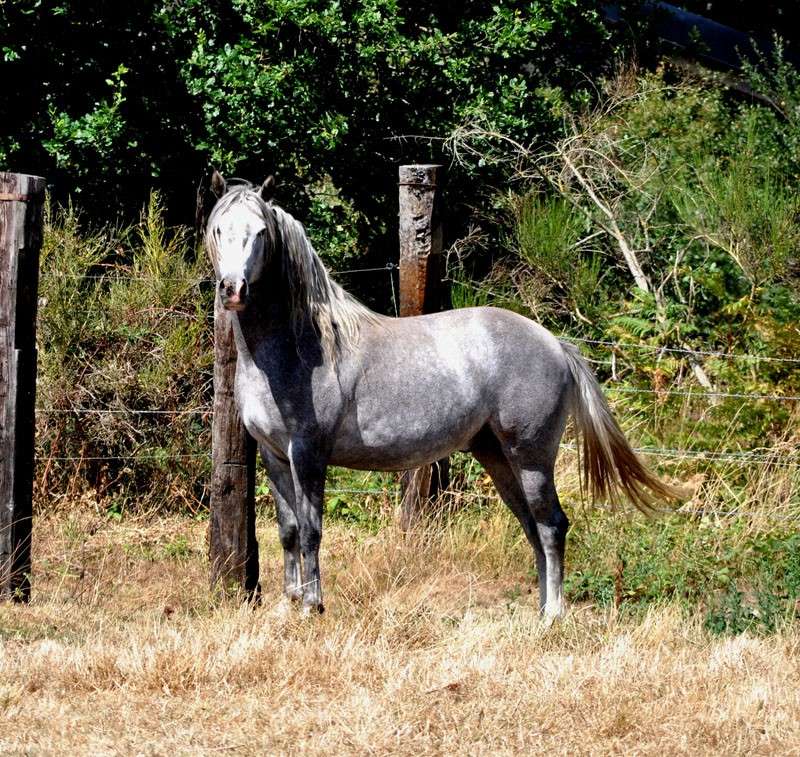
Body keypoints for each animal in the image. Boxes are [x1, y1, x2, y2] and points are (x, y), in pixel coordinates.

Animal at [206, 174, 680, 616]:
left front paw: (311, 607)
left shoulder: (308, 452)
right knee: (532, 527)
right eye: (218, 229)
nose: (233, 289)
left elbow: (310, 530)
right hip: (497, 456)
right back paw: (539, 611)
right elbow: (287, 531)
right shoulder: (273, 454)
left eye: (260, 231)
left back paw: (553, 616)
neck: (302, 345)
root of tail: (554, 343)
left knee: (552, 526)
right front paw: (287, 605)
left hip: (531, 457)